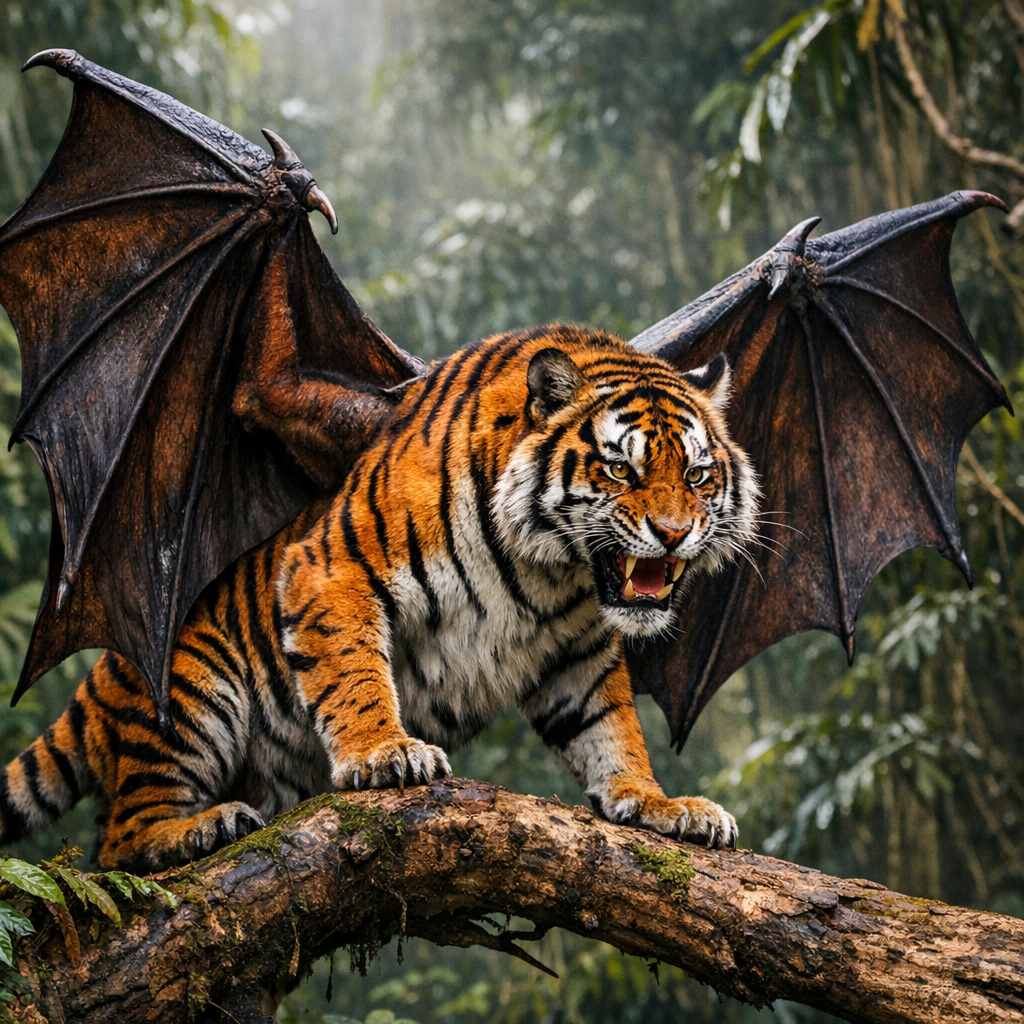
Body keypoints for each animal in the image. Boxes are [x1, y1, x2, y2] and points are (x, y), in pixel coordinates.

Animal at [0, 323, 758, 872]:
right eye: (620, 468)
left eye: (697, 474)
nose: (674, 533)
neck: (550, 567)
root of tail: (101, 678)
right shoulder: (330, 570)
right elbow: (354, 673)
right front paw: (385, 753)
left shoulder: (578, 651)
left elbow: (611, 730)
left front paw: (658, 804)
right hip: (191, 694)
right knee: (119, 841)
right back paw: (201, 830)